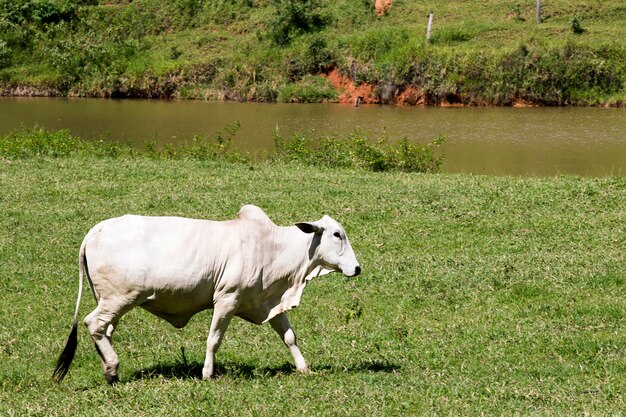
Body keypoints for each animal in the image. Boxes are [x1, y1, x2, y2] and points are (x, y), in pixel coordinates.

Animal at [52, 205, 360, 384]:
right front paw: (208, 373)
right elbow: (214, 339)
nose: (356, 268)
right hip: (119, 298)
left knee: (104, 330)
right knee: (94, 324)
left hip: (110, 300)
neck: (272, 246)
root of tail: (97, 229)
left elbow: (289, 337)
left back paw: (110, 370)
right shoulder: (227, 299)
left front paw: (304, 368)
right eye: (337, 235)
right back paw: (113, 368)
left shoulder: (269, 304)